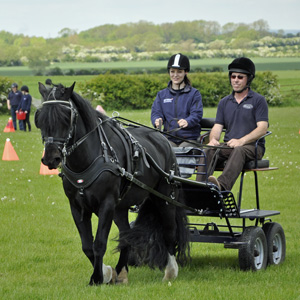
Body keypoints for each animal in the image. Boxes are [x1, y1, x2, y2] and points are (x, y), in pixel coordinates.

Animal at [35, 82, 189, 286]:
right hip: (120, 208)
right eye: (40, 118)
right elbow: (87, 246)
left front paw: (97, 277)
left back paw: (170, 271)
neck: (87, 159)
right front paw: (106, 272)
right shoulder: (77, 207)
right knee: (126, 236)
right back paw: (121, 272)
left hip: (165, 199)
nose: (51, 158)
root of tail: (163, 138)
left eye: (66, 117)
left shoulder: (106, 204)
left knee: (169, 232)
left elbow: (99, 243)